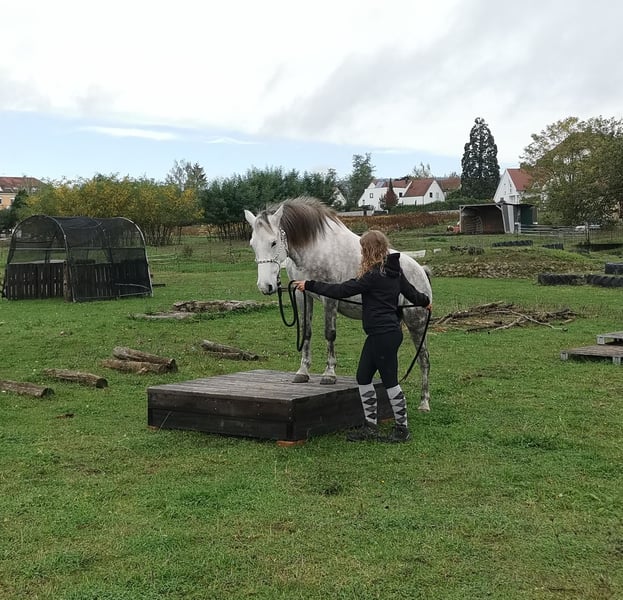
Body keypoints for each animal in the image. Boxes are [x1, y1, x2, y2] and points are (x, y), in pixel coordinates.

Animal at [244, 197, 433, 412]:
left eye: (274, 242)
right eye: (252, 244)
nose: (265, 286)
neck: (313, 249)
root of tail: (421, 270)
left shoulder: (330, 298)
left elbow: (330, 334)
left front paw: (329, 374)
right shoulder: (302, 295)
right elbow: (306, 332)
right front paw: (302, 372)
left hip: (417, 323)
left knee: (424, 359)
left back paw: (424, 403)